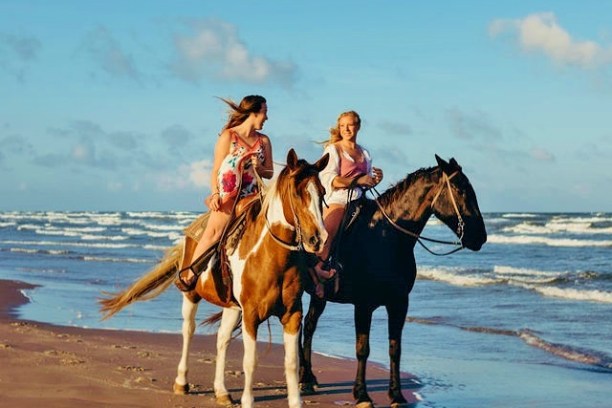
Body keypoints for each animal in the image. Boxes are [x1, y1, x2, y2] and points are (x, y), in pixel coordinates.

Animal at [99, 149, 330, 408]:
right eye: (297, 193)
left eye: (322, 192)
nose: (318, 239)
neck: (272, 257)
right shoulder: (251, 315)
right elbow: (250, 361)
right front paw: (248, 401)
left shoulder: (292, 314)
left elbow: (290, 363)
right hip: (191, 294)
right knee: (188, 331)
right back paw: (182, 382)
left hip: (231, 307)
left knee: (222, 339)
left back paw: (221, 391)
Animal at [300, 155, 488, 406]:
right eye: (460, 190)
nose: (480, 236)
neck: (385, 235)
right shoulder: (364, 305)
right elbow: (363, 349)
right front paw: (362, 394)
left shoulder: (399, 303)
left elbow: (395, 348)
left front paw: (396, 394)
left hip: (319, 294)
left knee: (308, 326)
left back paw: (308, 378)